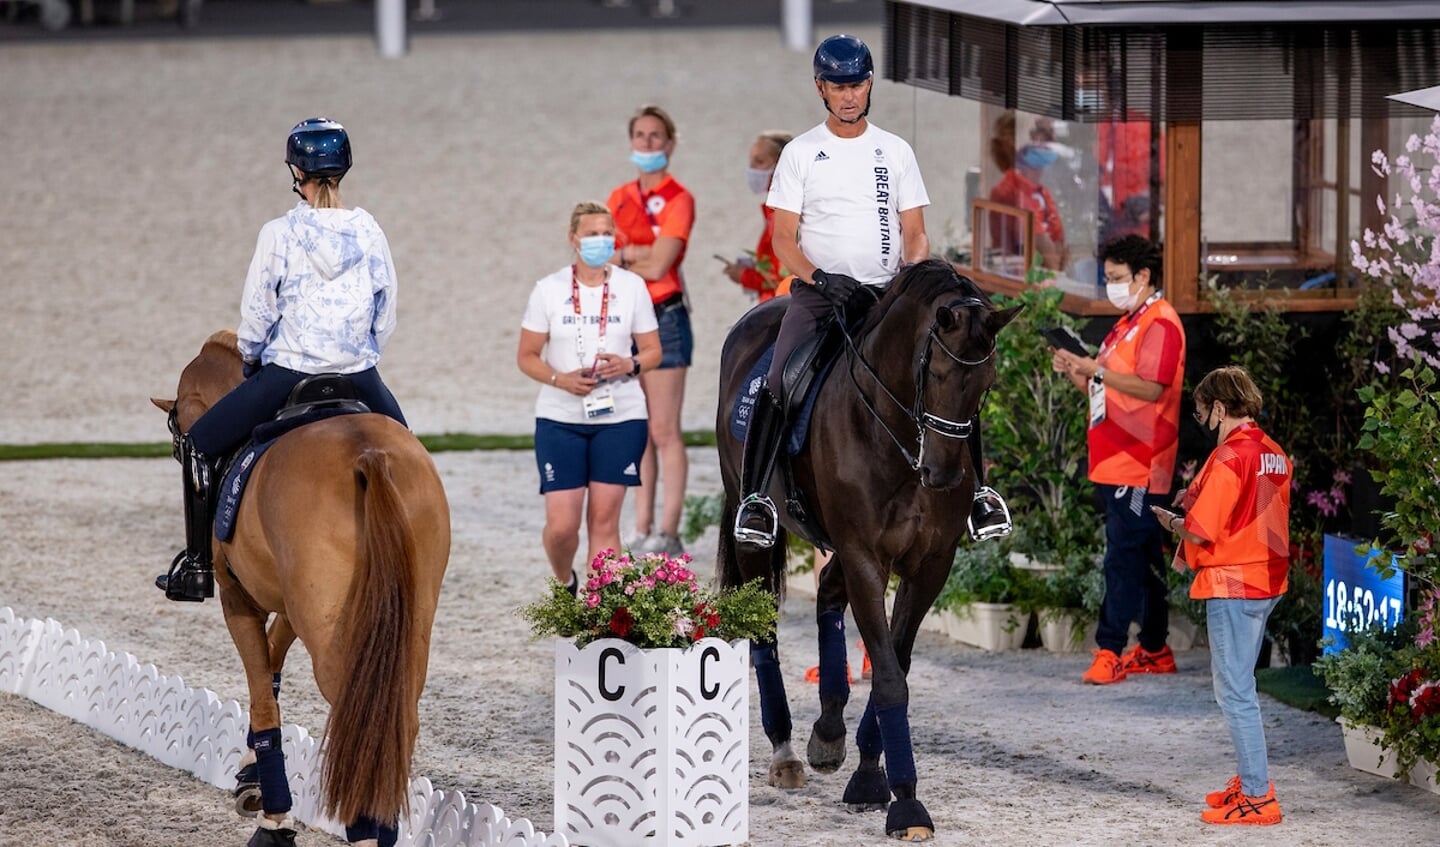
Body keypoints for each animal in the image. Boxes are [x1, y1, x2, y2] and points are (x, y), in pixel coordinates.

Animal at [152, 329, 449, 841]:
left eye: (178, 440)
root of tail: (368, 455)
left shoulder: (237, 599)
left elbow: (259, 690)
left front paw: (272, 812)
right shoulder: (293, 606)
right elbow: (270, 670)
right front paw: (251, 773)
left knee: (360, 720)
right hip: (407, 626)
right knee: (397, 725)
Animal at [714, 260, 1019, 841]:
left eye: (987, 384)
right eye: (935, 375)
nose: (943, 475)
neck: (895, 436)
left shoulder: (929, 566)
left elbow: (892, 665)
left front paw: (870, 778)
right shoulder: (865, 558)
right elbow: (891, 677)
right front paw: (907, 804)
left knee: (827, 596)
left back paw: (829, 731)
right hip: (757, 528)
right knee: (764, 629)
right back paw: (785, 752)